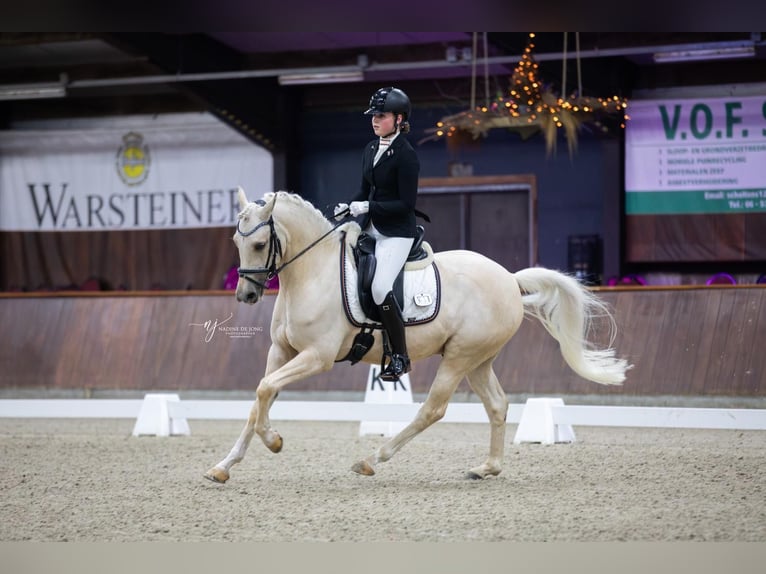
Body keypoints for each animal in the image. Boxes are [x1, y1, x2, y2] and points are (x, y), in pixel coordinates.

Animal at [202, 191, 632, 484]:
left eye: (260, 244)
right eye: (237, 242)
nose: (246, 295)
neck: (312, 272)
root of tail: (509, 279)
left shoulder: (316, 356)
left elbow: (263, 391)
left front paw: (273, 440)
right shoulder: (282, 351)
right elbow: (260, 396)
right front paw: (223, 467)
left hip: (459, 357)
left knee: (434, 409)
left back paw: (372, 459)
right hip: (478, 360)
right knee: (497, 405)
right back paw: (486, 468)